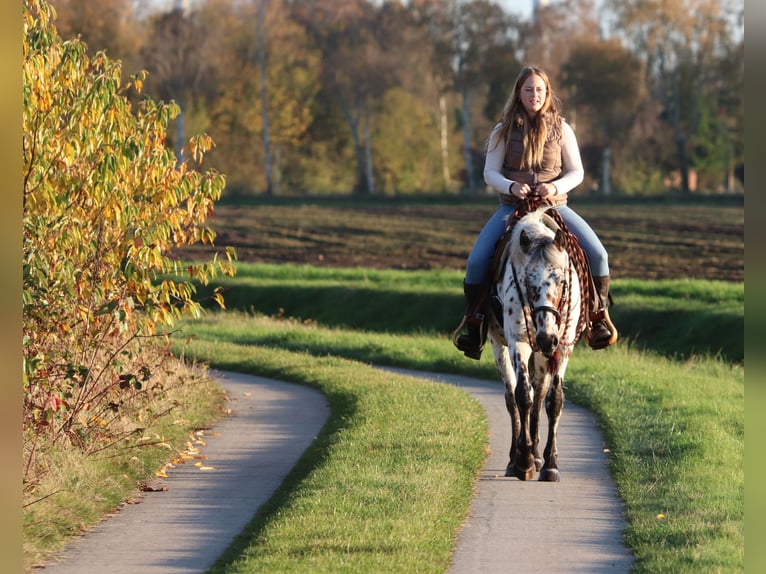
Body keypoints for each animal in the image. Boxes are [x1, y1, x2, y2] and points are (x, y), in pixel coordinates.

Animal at [488, 209, 592, 484]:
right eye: (527, 282)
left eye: (563, 282)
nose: (546, 338)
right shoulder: (519, 342)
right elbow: (522, 395)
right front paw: (523, 462)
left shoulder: (562, 347)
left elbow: (553, 400)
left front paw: (550, 464)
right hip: (500, 347)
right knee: (512, 397)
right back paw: (516, 459)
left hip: (544, 356)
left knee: (540, 394)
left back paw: (536, 455)